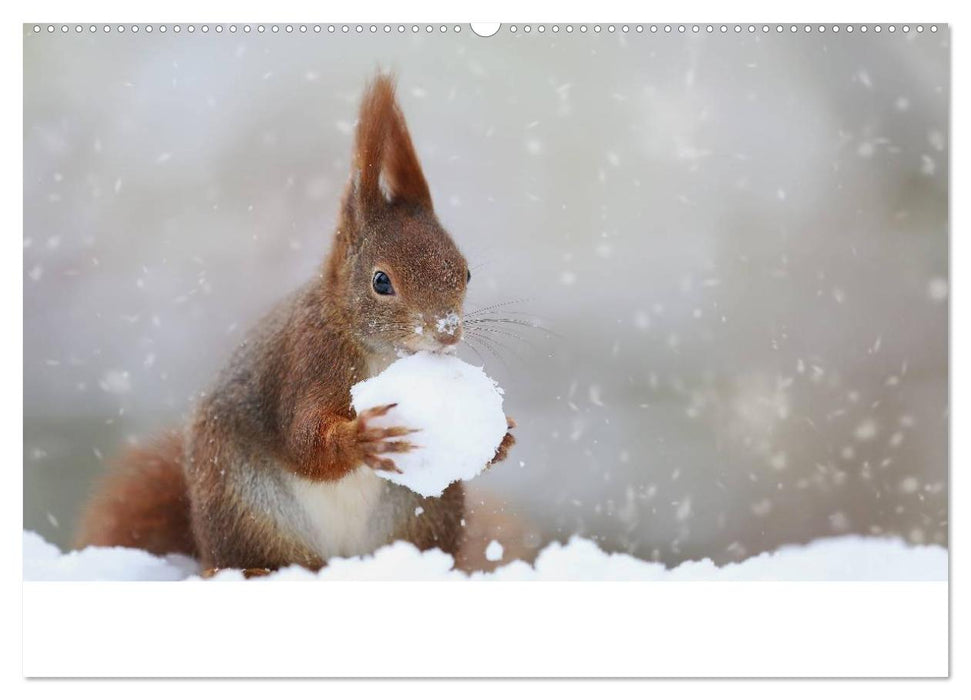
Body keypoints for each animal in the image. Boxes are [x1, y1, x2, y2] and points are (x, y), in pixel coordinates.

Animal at [78, 74, 516, 572]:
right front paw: (359, 437)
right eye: (381, 281)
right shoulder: (307, 363)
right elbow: (304, 440)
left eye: (466, 273)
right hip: (245, 504)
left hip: (421, 512)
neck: (374, 349)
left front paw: (500, 441)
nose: (447, 331)